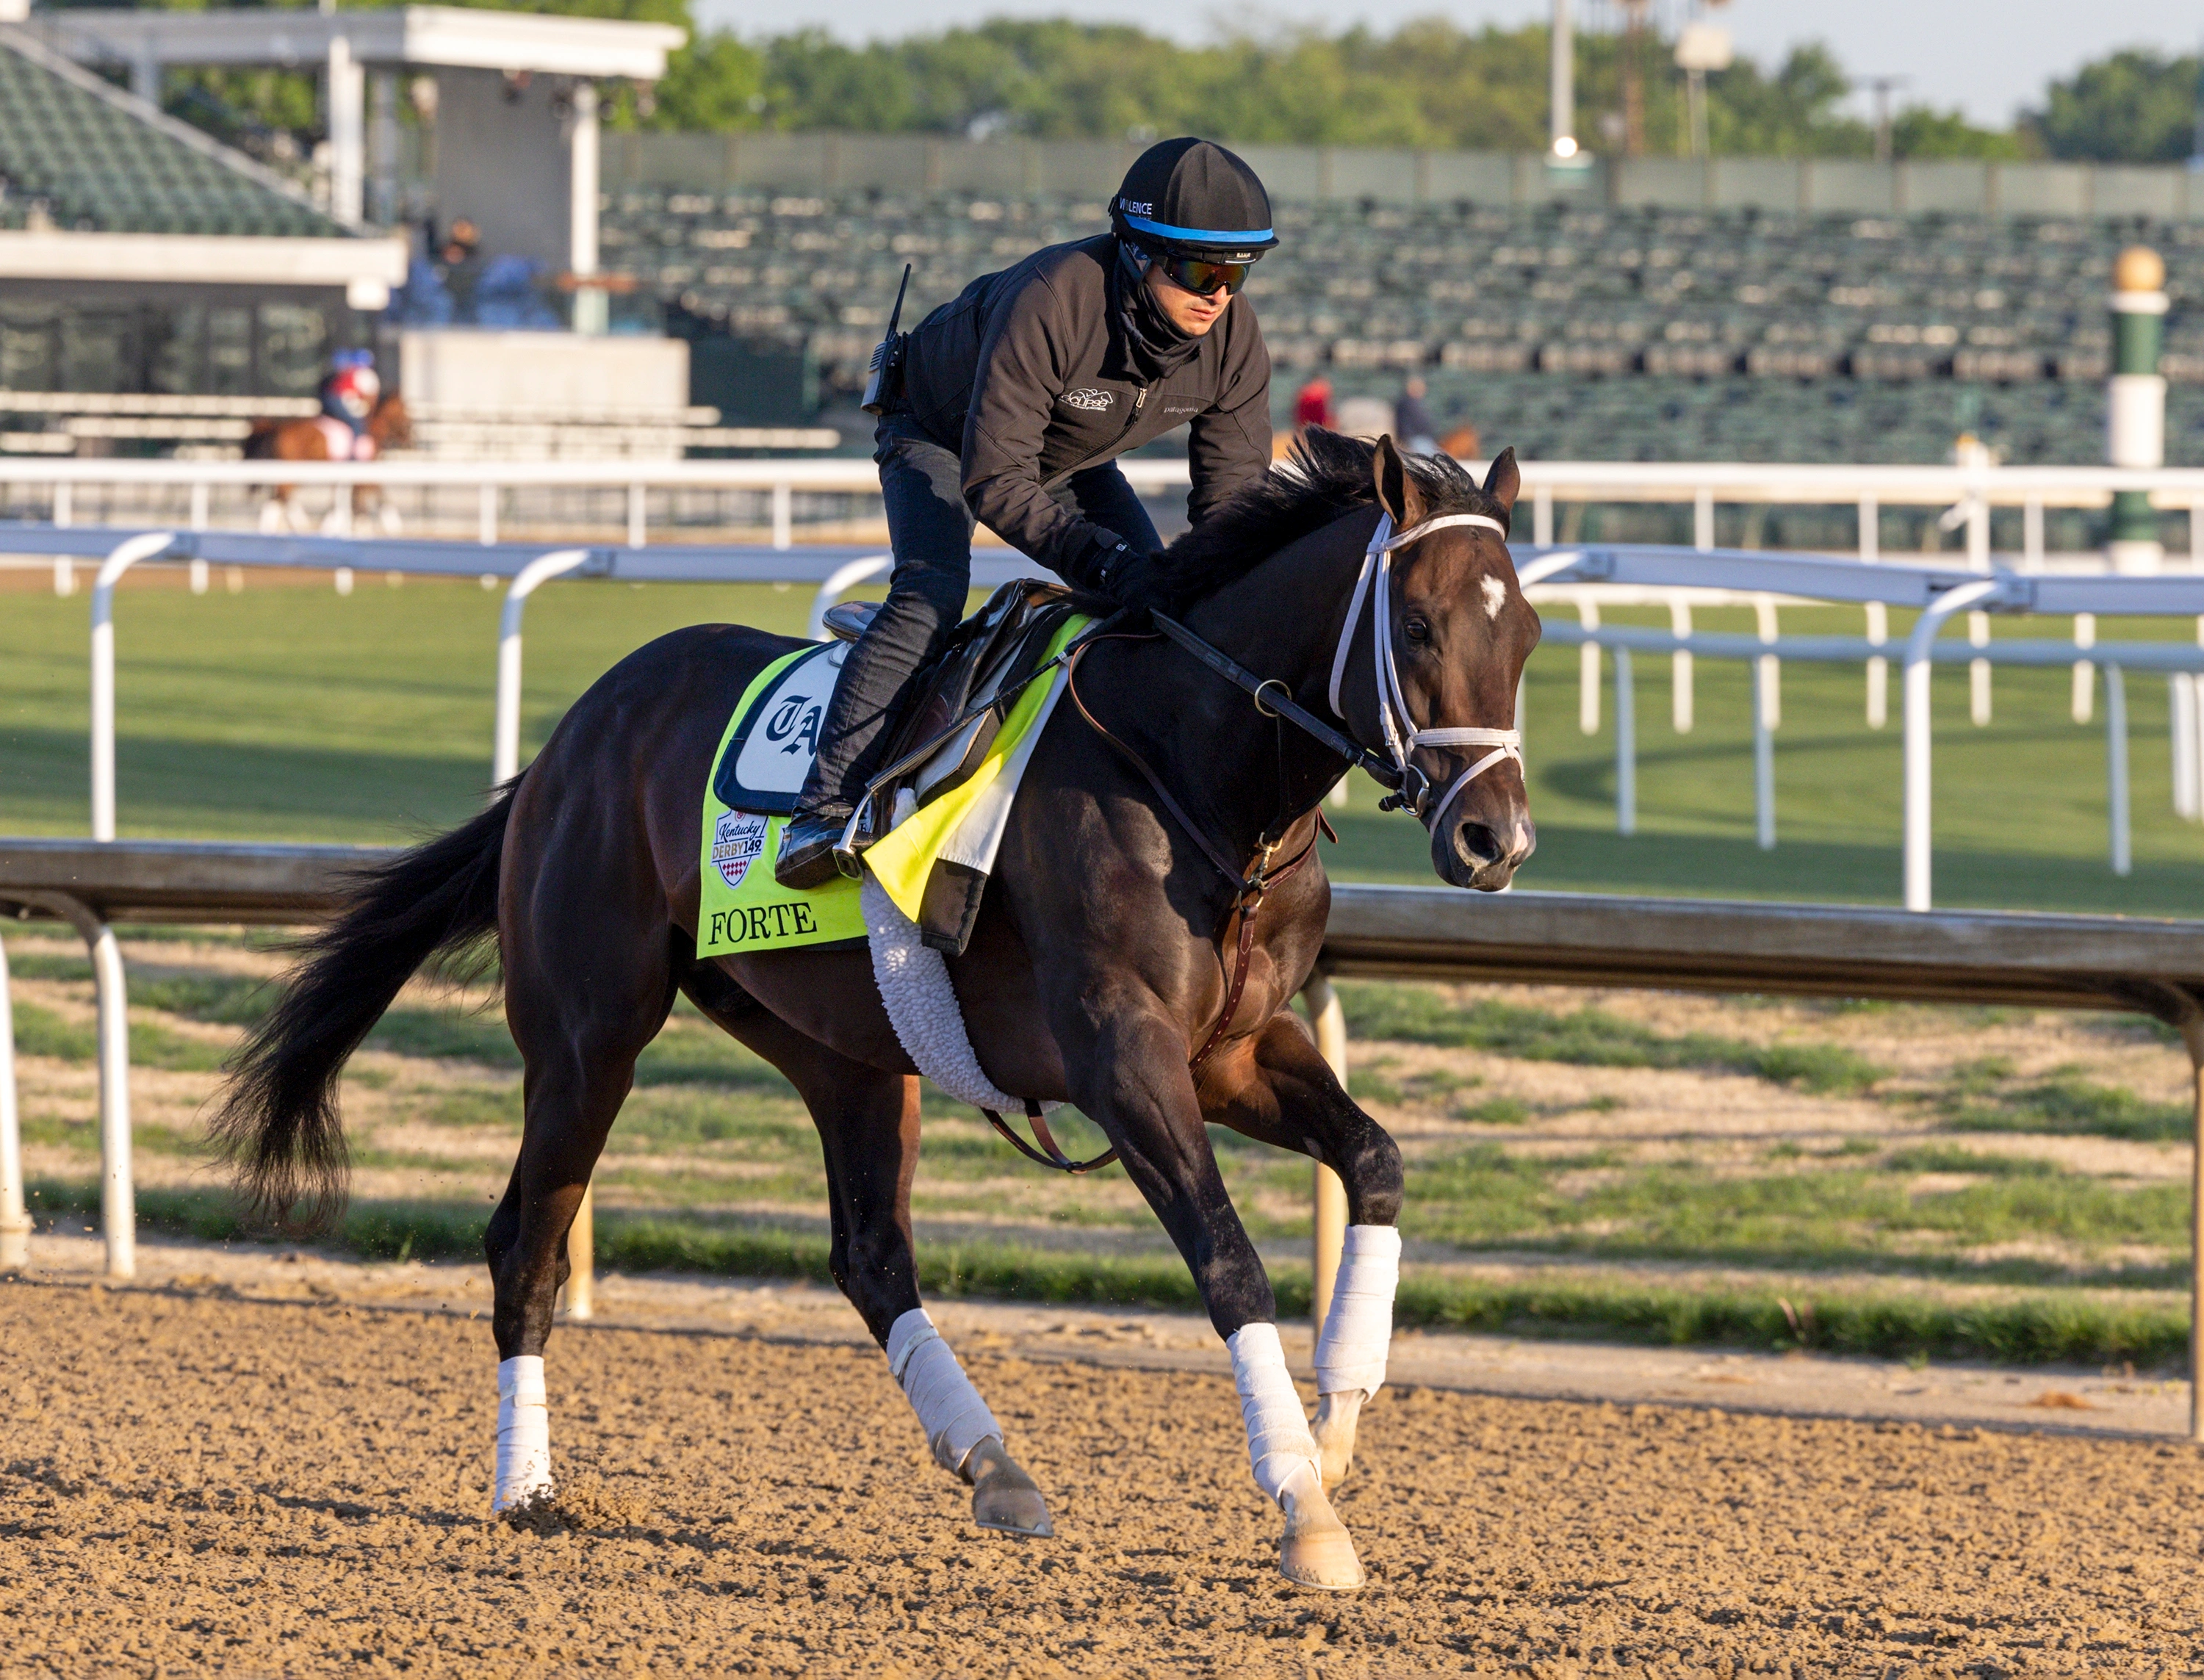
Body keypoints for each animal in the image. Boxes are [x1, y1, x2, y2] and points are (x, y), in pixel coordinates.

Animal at [215, 428, 1543, 1587]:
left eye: (1526, 632)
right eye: (1417, 624)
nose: (1498, 839)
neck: (1191, 770)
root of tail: (564, 745)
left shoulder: (1235, 1050)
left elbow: (1375, 1160)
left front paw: (1339, 1425)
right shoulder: (1122, 1054)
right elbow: (1228, 1259)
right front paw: (1305, 1506)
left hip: (844, 1047)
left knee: (869, 1253)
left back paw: (994, 1463)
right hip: (589, 1034)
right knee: (526, 1242)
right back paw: (526, 1487)